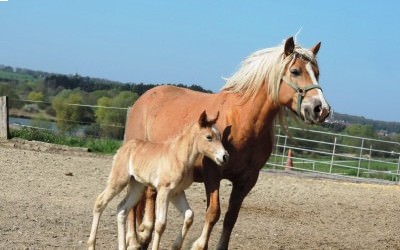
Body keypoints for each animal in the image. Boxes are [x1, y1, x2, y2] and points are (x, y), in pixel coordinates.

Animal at [89, 111, 230, 250]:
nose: (225, 157)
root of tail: (123, 147)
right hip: (119, 180)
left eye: (220, 136)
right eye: (209, 137)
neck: (179, 157)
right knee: (100, 202)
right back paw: (91, 245)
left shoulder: (177, 193)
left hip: (137, 187)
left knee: (122, 209)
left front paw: (176, 246)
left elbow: (189, 215)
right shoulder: (164, 191)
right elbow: (160, 224)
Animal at [125, 36, 332, 249]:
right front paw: (199, 244)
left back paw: (144, 234)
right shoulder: (213, 172)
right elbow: (213, 212)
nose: (321, 109)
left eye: (317, 73)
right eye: (295, 71)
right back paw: (134, 238)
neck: (243, 121)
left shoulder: (247, 180)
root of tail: (142, 100)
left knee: (150, 195)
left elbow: (231, 217)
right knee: (134, 203)